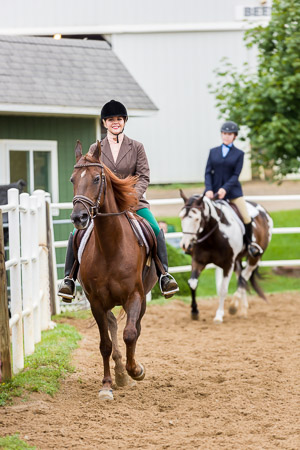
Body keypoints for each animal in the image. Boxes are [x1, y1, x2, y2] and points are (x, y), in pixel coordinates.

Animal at [70, 142, 157, 400]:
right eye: (72, 180)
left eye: (97, 178)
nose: (78, 217)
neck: (110, 246)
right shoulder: (96, 302)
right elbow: (105, 344)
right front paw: (108, 384)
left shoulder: (134, 296)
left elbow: (130, 333)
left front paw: (136, 370)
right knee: (113, 326)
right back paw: (119, 372)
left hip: (142, 297)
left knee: (134, 328)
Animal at [179, 190, 274, 324]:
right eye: (181, 217)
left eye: (197, 218)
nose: (185, 245)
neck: (213, 235)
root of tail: (263, 211)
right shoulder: (198, 261)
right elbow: (192, 283)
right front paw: (194, 312)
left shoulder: (228, 264)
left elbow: (223, 290)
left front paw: (219, 315)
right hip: (238, 260)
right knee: (241, 277)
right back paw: (242, 310)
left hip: (254, 258)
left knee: (244, 277)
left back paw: (234, 306)